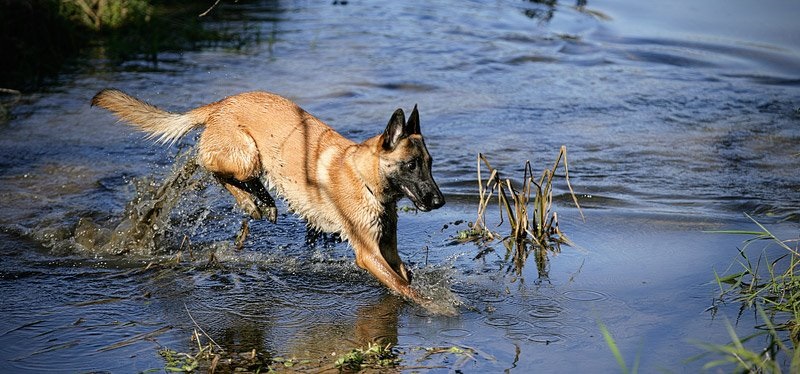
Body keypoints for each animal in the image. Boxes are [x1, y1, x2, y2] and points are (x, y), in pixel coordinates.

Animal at [92, 89, 450, 306]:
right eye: (411, 165)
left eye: (430, 164)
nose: (439, 202)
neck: (366, 179)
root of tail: (222, 104)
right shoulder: (367, 253)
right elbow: (404, 285)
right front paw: (436, 306)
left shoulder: (387, 248)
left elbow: (404, 276)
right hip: (248, 155)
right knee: (212, 167)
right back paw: (252, 201)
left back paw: (263, 201)